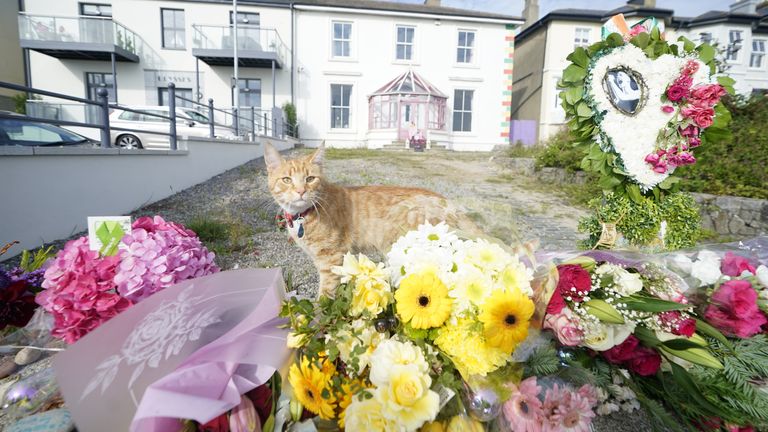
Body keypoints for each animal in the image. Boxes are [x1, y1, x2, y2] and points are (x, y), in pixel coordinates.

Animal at [266, 142, 480, 296]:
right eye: (286, 180)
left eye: (310, 179)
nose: (301, 191)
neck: (303, 216)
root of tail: (447, 201)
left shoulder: (331, 259)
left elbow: (324, 295)